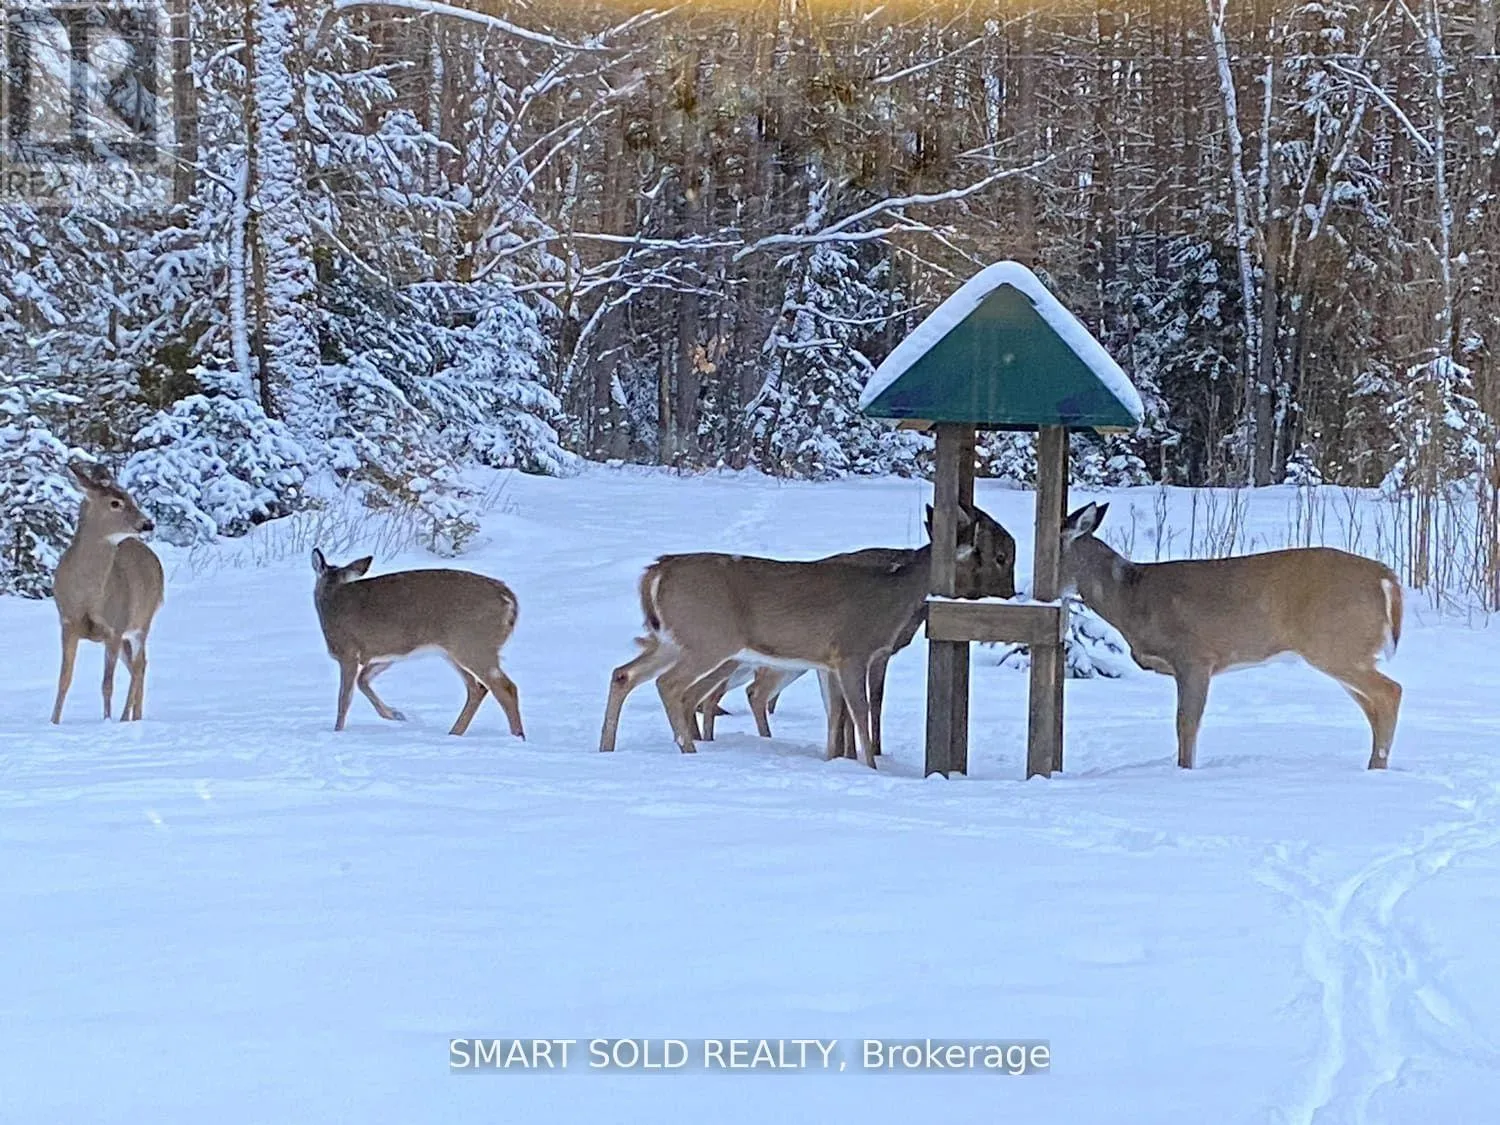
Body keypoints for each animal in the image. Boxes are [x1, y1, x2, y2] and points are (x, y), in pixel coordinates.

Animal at [51, 465, 165, 725]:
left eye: (131, 497)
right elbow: (64, 679)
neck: (87, 595)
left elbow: (107, 684)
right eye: (115, 503)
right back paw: (134, 717)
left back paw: (127, 719)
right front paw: (53, 722)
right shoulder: (67, 624)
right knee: (138, 665)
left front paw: (107, 721)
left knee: (139, 665)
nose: (148, 524)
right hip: (126, 635)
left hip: (142, 621)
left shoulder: (114, 627)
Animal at [310, 550, 525, 737]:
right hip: (454, 649)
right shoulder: (388, 652)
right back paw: (454, 733)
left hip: (473, 643)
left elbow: (344, 699)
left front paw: (337, 732)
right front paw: (397, 714)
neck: (332, 597)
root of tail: (510, 599)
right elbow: (363, 680)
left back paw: (517, 737)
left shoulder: (347, 651)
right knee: (477, 687)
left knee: (505, 688)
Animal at [599, 502, 1016, 767]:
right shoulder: (853, 650)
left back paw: (607, 747)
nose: (1011, 594)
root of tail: (657, 570)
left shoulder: (826, 663)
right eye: (994, 552)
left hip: (675, 639)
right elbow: (860, 713)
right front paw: (870, 767)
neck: (894, 595)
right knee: (673, 686)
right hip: (708, 637)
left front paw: (836, 762)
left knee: (625, 674)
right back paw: (687, 751)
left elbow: (834, 718)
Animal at [1059, 501, 1403, 770]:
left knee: (1390, 691)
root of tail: (1385, 576)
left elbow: (1186, 723)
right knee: (1374, 705)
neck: (1132, 600)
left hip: (1336, 644)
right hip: (1346, 650)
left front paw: (1184, 772)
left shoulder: (1195, 657)